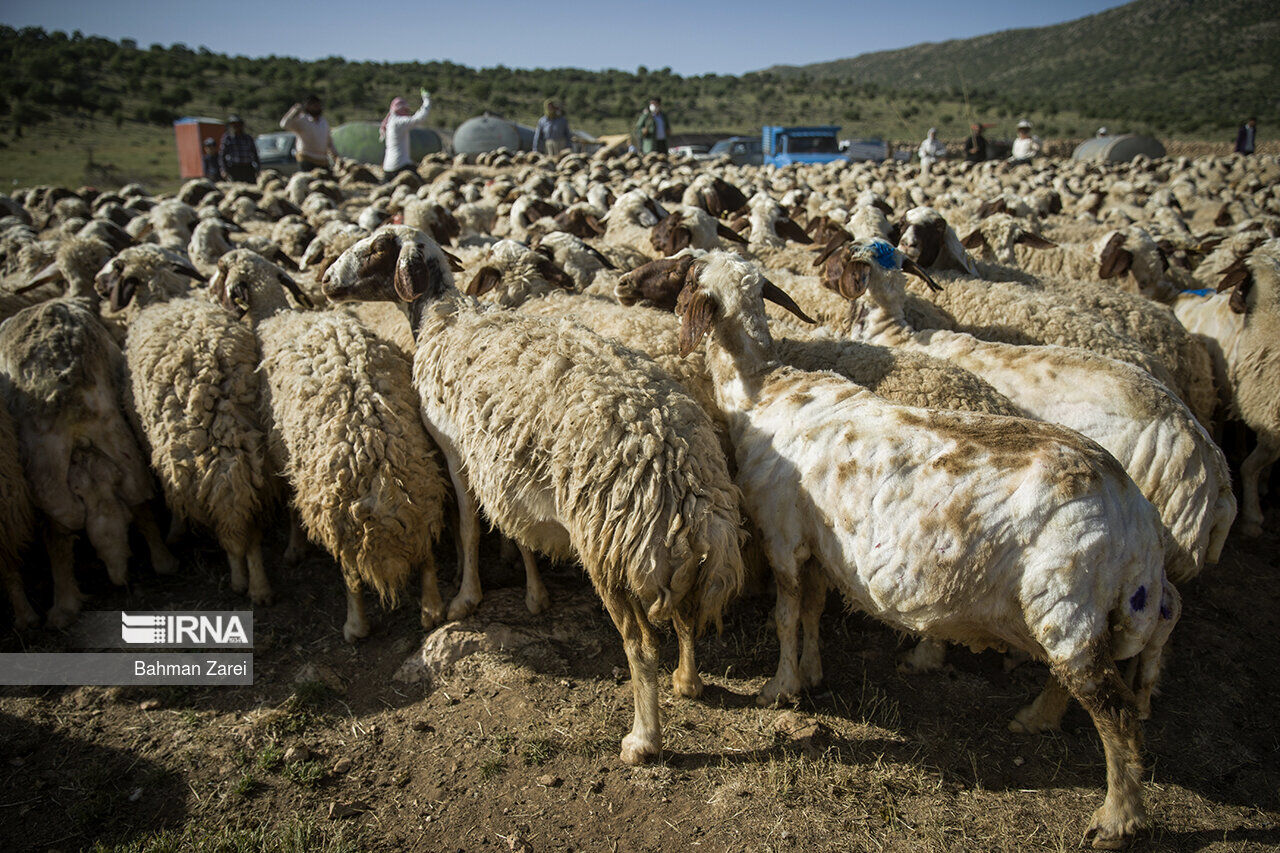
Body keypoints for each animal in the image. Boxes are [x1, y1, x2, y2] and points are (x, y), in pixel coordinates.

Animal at [0, 295, 177, 622]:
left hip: (44, 459)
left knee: (59, 522)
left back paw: (58, 608)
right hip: (115, 430)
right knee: (136, 493)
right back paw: (163, 561)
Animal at [218, 249, 455, 635]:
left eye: (222, 270)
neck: (273, 315)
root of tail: (379, 466)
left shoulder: (280, 457)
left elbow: (290, 506)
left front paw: (294, 549)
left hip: (338, 513)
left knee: (352, 574)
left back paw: (354, 626)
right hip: (422, 492)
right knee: (426, 555)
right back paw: (432, 610)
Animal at [320, 224, 747, 758]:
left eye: (377, 247)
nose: (326, 282)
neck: (443, 318)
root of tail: (687, 486)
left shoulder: (455, 449)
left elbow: (467, 526)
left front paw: (465, 598)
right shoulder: (506, 464)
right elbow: (515, 528)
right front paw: (533, 591)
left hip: (608, 545)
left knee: (641, 645)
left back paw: (642, 740)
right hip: (675, 559)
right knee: (687, 616)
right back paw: (688, 683)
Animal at [675, 249, 1182, 845]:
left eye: (688, 277)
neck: (763, 390)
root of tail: (1135, 516)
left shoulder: (784, 537)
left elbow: (785, 615)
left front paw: (781, 687)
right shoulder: (821, 548)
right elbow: (814, 611)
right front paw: (814, 673)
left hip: (1066, 596)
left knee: (1114, 710)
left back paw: (1118, 818)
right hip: (1083, 612)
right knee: (1078, 683)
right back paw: (1037, 720)